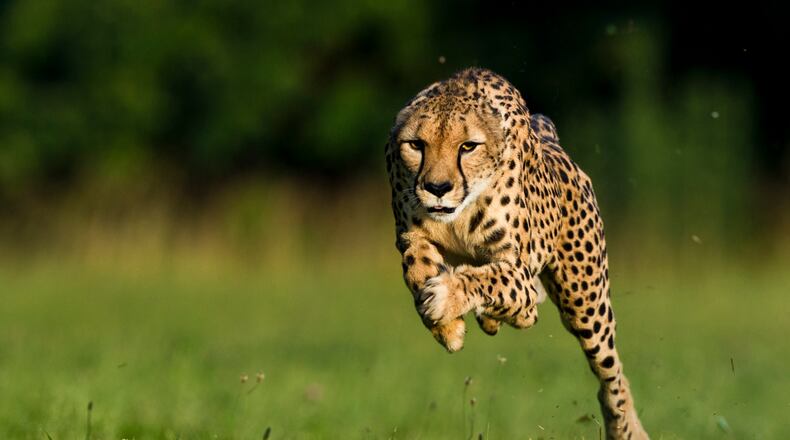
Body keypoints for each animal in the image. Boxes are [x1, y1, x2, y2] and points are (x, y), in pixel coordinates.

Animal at [384, 68, 648, 439]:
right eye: (416, 145)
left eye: (468, 146)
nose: (437, 188)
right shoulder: (410, 236)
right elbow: (417, 268)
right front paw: (447, 327)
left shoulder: (518, 271)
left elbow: (490, 279)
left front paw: (447, 298)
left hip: (585, 304)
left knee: (610, 372)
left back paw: (625, 428)